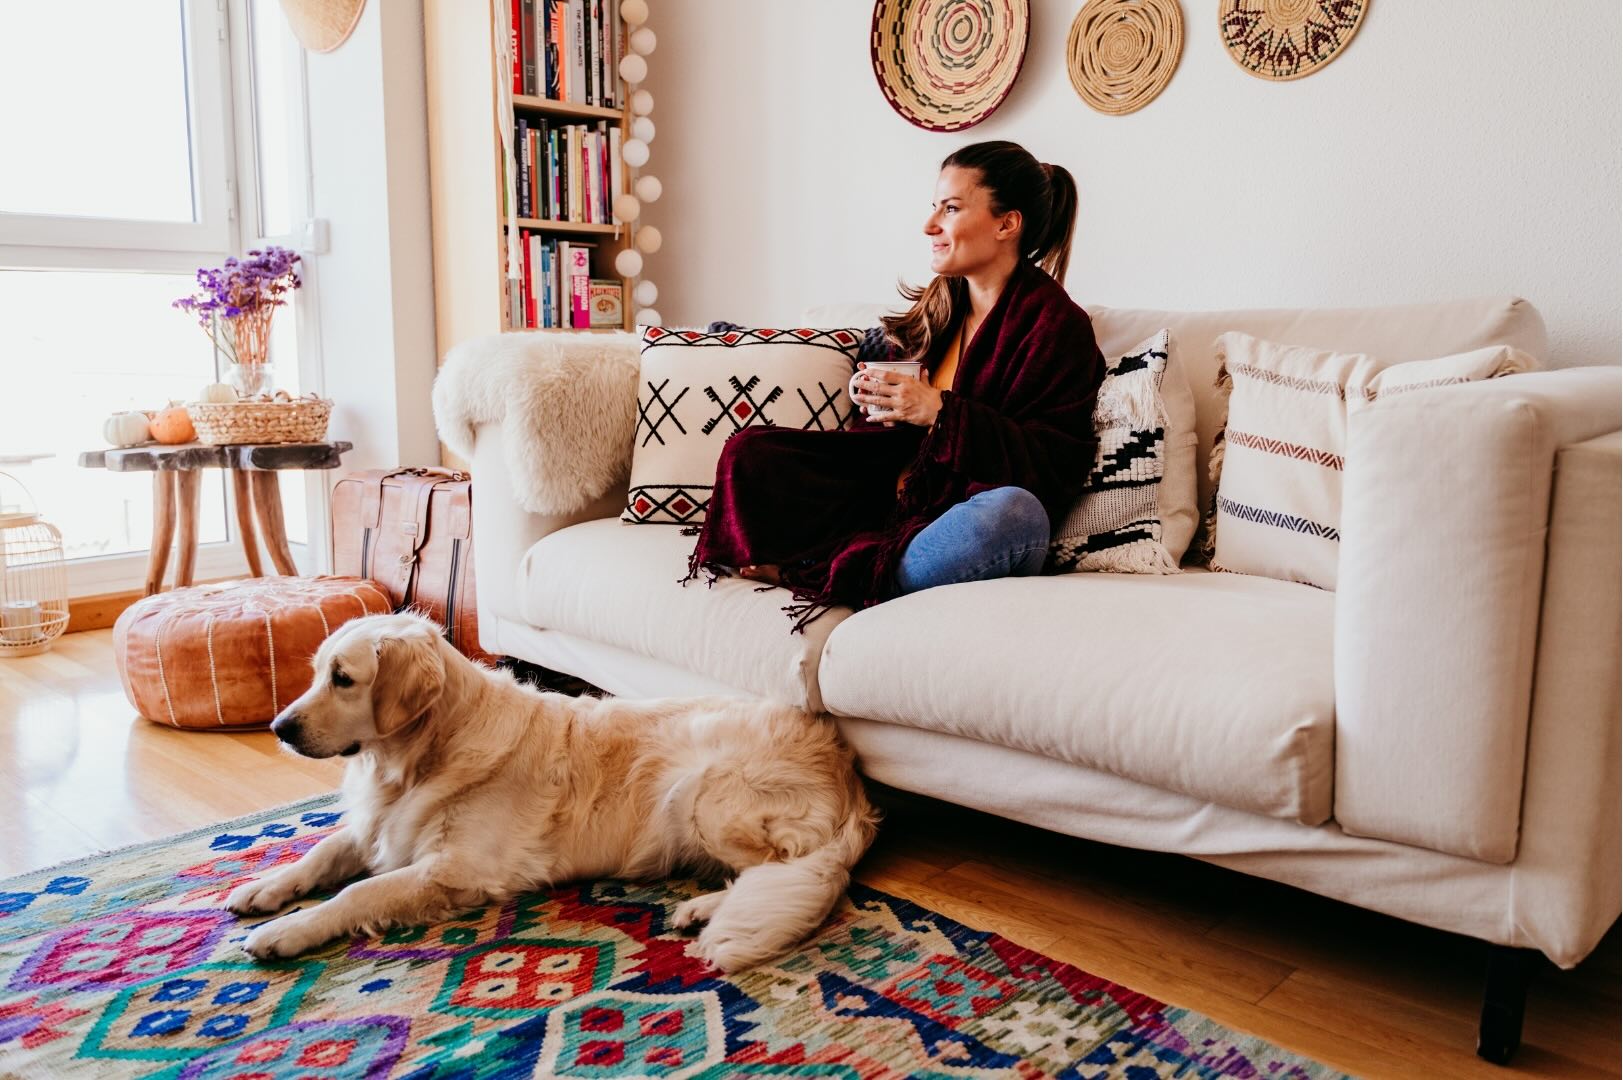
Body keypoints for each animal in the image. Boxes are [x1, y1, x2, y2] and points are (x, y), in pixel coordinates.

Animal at [225, 610, 876, 974]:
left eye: (343, 679)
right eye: (317, 673)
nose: (279, 728)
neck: (421, 758)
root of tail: (846, 769)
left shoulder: (457, 871)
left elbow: (356, 894)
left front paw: (286, 932)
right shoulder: (380, 827)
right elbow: (320, 852)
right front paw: (263, 889)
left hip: (702, 792)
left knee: (784, 867)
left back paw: (703, 909)